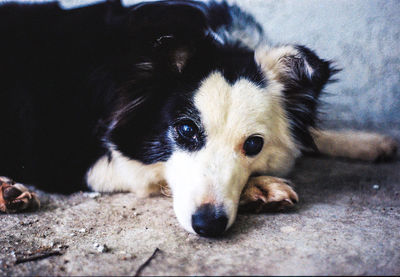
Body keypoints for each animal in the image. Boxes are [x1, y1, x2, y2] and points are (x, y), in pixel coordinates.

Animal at [0, 0, 396, 237]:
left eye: (254, 144)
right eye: (186, 129)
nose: (209, 226)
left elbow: (311, 133)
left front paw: (366, 141)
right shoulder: (65, 155)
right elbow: (146, 173)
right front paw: (260, 188)